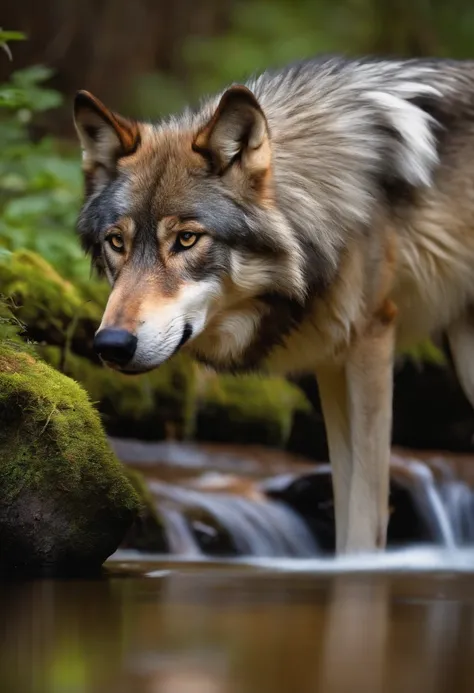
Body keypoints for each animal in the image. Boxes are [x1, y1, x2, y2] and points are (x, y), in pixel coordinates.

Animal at [74, 54, 474, 556]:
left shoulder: (371, 343)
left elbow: (365, 520)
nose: (111, 344)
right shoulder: (332, 362)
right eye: (117, 242)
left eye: (186, 239)